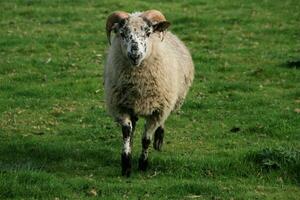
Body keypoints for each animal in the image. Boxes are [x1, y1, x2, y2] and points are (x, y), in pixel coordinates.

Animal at [104, 10, 195, 176]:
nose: (135, 54)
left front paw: (143, 164)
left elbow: (146, 139)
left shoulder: (157, 110)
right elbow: (126, 132)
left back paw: (158, 141)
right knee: (133, 127)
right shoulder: (121, 107)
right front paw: (126, 163)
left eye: (148, 33)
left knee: (161, 124)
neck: (138, 85)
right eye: (122, 33)